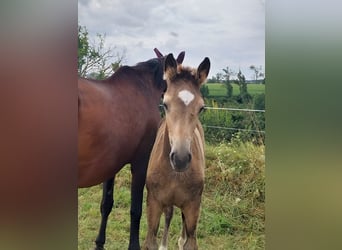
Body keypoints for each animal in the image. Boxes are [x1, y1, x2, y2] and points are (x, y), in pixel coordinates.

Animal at [78, 49, 184, 250]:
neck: (144, 87)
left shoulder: (109, 164)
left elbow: (106, 204)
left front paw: (99, 243)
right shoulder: (140, 162)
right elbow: (136, 209)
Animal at [143, 53, 210, 249]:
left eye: (201, 107)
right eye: (165, 104)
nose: (180, 159)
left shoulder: (193, 206)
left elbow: (189, 241)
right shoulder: (153, 203)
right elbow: (151, 240)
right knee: (169, 214)